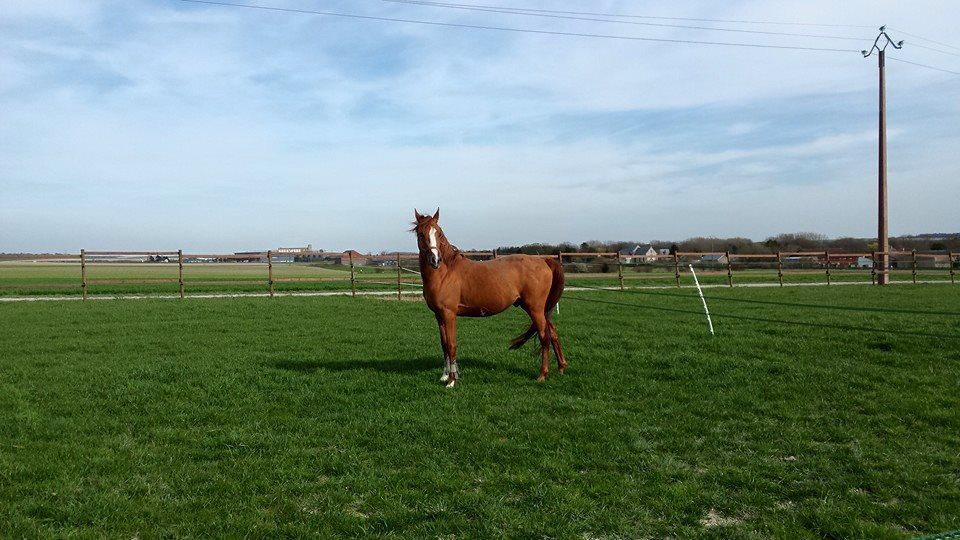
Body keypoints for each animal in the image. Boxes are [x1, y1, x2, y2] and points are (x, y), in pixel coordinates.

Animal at [411, 209, 567, 387]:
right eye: (421, 234)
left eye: (439, 233)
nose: (435, 260)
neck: (445, 273)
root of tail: (543, 260)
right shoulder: (439, 316)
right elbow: (444, 345)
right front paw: (445, 375)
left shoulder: (449, 314)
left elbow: (451, 345)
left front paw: (451, 380)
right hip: (540, 309)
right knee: (552, 333)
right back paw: (561, 367)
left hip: (535, 309)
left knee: (544, 336)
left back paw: (542, 374)